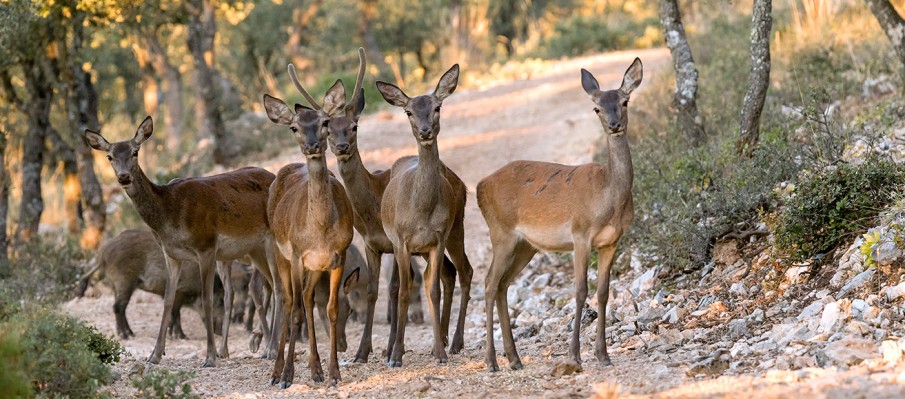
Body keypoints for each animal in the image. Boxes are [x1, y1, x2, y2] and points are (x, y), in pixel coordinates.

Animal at [85, 119, 282, 368]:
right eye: (109, 156)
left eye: (135, 152)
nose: (123, 177)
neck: (170, 215)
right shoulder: (172, 255)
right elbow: (168, 300)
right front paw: (155, 355)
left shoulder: (206, 246)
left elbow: (207, 300)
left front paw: (210, 357)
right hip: (254, 249)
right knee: (268, 285)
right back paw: (265, 346)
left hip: (272, 240)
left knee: (279, 285)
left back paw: (272, 348)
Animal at [262, 76, 354, 388]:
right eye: (294, 127)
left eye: (325, 122)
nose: (313, 145)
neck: (321, 231)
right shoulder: (298, 254)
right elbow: (296, 313)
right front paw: (287, 376)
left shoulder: (338, 256)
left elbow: (331, 310)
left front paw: (334, 373)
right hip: (280, 253)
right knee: (290, 302)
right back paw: (277, 371)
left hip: (314, 267)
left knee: (307, 299)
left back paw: (316, 369)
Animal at [374, 64, 476, 368]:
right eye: (408, 111)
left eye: (437, 107)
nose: (425, 131)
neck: (421, 211)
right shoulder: (401, 241)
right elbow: (405, 290)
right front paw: (395, 356)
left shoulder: (438, 237)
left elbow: (432, 289)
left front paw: (441, 353)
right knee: (449, 273)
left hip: (457, 226)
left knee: (463, 271)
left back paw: (453, 342)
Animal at [476, 57, 640, 372]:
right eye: (596, 108)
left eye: (624, 101)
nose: (614, 125)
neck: (608, 196)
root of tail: (478, 186)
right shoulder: (580, 234)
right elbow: (580, 291)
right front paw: (575, 355)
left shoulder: (612, 241)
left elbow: (603, 292)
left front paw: (603, 355)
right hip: (500, 232)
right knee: (489, 283)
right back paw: (491, 361)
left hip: (525, 246)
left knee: (502, 285)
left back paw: (514, 359)